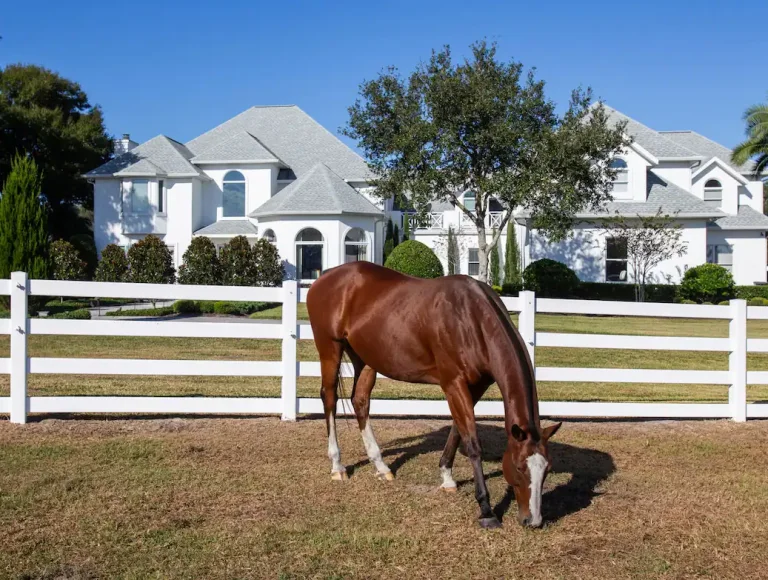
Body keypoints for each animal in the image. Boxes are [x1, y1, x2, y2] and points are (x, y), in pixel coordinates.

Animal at [306, 260, 564, 528]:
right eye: (519, 466)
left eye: (546, 469)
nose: (533, 520)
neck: (471, 319)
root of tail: (324, 278)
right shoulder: (453, 383)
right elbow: (472, 443)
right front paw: (486, 510)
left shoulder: (475, 386)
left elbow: (458, 430)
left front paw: (447, 476)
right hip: (330, 349)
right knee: (329, 398)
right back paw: (337, 465)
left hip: (366, 358)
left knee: (360, 401)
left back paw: (381, 466)